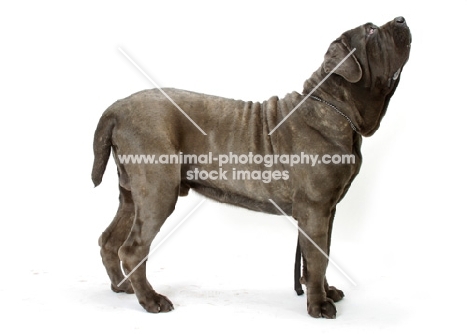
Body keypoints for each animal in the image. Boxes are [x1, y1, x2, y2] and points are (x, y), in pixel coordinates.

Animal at [94, 16, 410, 318]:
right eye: (371, 30)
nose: (401, 19)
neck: (334, 106)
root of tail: (116, 109)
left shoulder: (326, 211)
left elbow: (319, 255)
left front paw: (324, 291)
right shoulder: (316, 209)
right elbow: (318, 258)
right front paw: (319, 305)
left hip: (131, 194)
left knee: (110, 240)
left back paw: (122, 287)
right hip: (158, 191)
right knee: (133, 249)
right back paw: (151, 300)